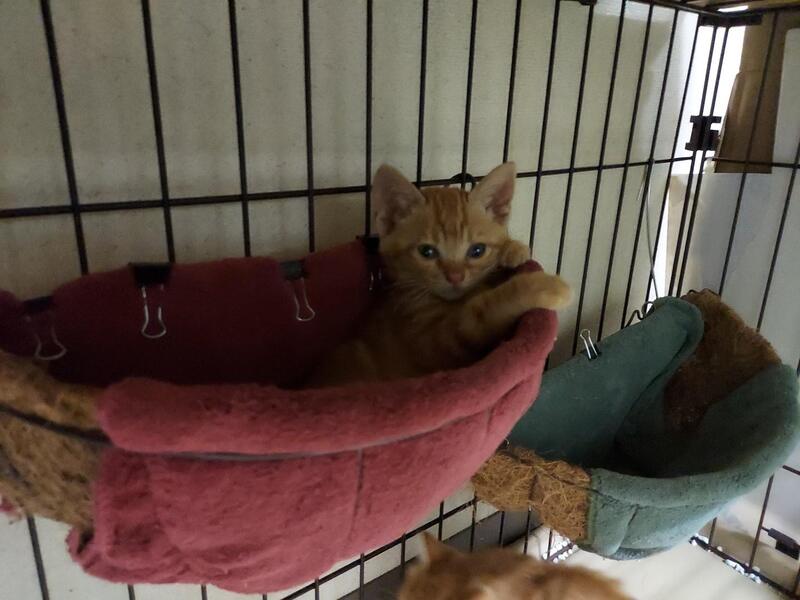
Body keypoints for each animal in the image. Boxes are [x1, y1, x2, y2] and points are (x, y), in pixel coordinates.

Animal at [307, 162, 571, 386]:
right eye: (427, 252)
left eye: (477, 250)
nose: (455, 277)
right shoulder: (437, 342)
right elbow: (480, 311)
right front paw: (542, 287)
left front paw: (513, 249)